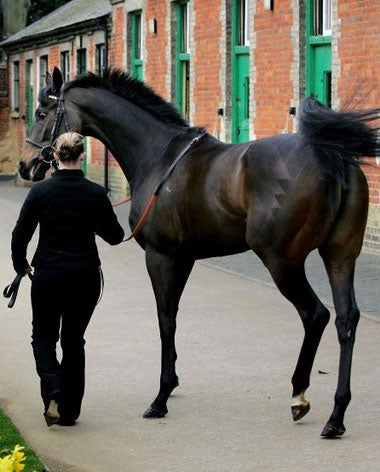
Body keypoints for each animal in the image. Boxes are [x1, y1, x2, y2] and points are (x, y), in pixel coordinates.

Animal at [19, 68, 378, 436]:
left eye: (41, 113)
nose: (25, 165)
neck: (158, 155)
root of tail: (330, 155)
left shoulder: (160, 257)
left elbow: (165, 321)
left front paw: (161, 397)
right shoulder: (184, 258)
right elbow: (174, 317)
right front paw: (172, 383)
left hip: (283, 262)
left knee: (315, 315)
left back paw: (299, 396)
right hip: (339, 256)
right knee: (346, 320)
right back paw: (336, 415)